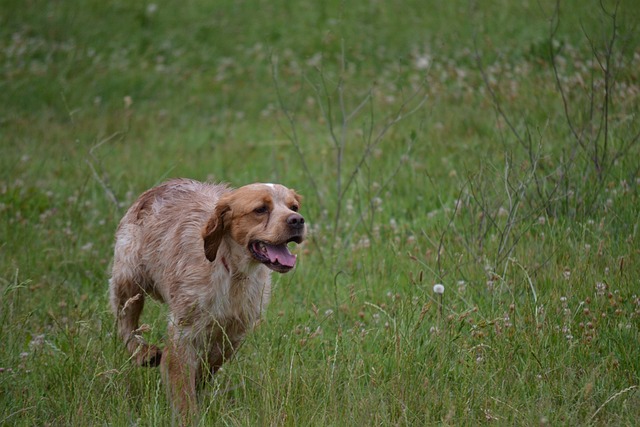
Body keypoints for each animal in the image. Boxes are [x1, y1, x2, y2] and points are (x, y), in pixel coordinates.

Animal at [109, 179, 306, 416]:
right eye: (260, 209)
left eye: (294, 207)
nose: (297, 220)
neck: (232, 271)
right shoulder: (183, 330)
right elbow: (182, 386)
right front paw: (187, 413)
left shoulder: (234, 329)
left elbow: (210, 363)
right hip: (129, 280)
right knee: (125, 323)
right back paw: (144, 353)